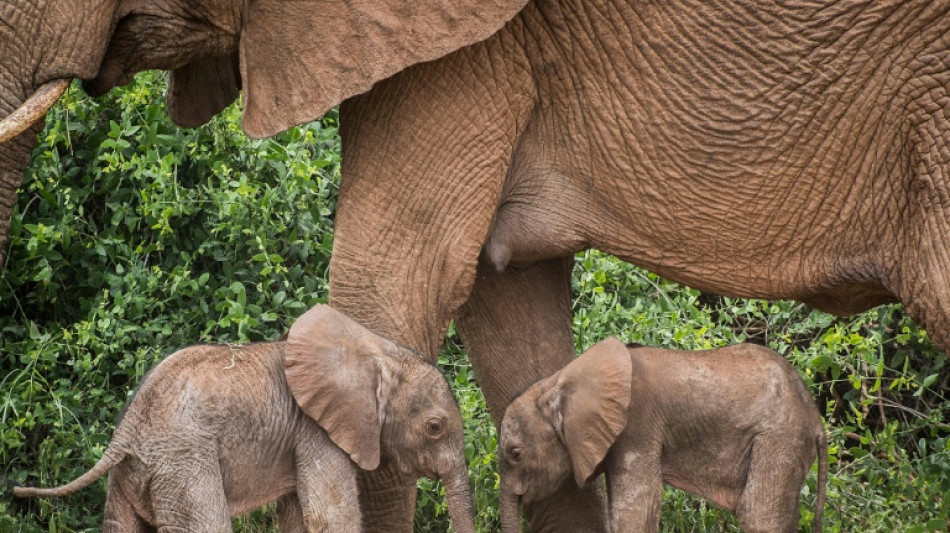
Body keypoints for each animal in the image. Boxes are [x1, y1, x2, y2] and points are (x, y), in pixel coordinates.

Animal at [10, 305, 475, 533]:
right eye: (435, 428)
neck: (377, 351)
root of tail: (125, 430)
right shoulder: (316, 430)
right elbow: (330, 517)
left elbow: (298, 519)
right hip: (183, 462)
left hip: (135, 472)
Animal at [498, 338, 829, 533]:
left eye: (515, 454)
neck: (559, 381)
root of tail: (816, 417)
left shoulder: (637, 425)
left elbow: (635, 511)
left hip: (780, 436)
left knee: (759, 514)